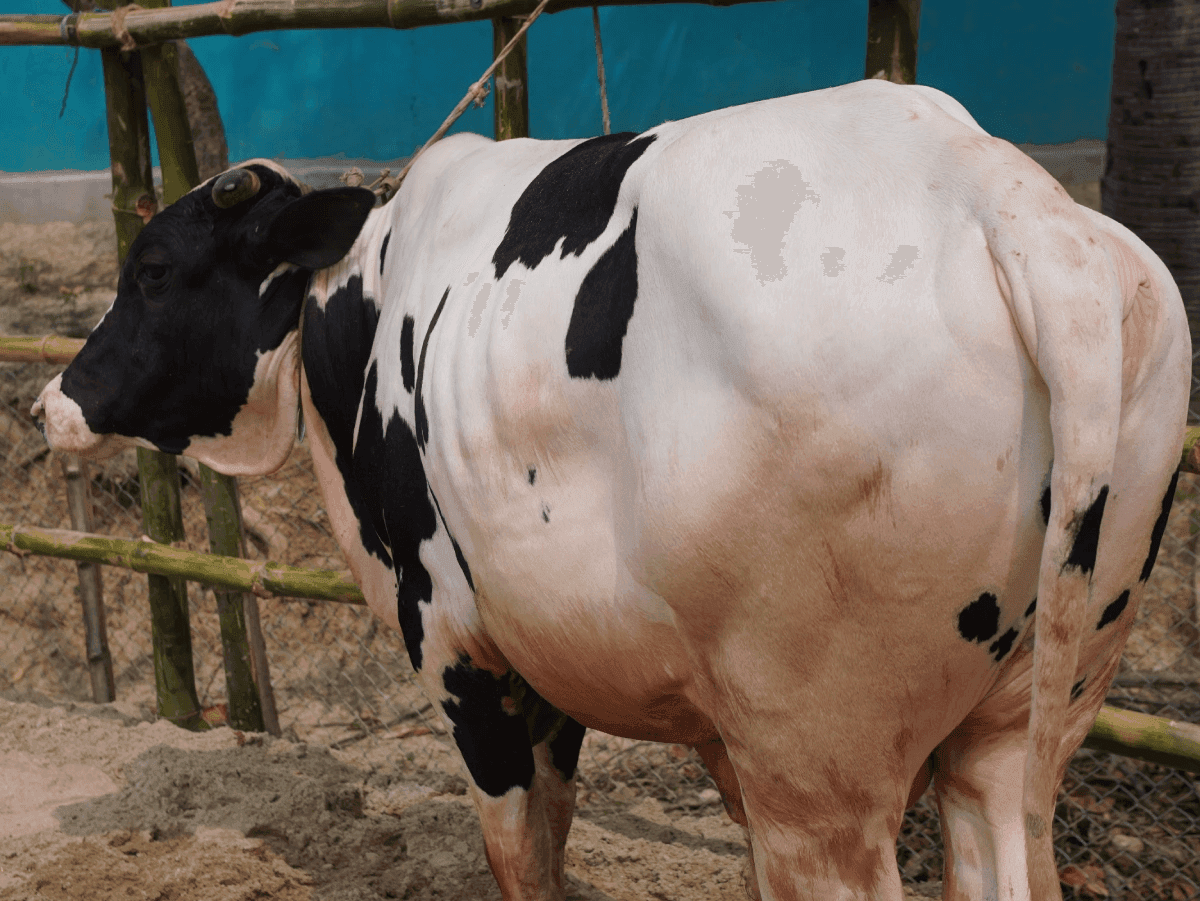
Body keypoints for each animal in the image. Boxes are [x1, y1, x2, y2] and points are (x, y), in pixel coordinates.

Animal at [32, 79, 1189, 901]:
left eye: (151, 272)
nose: (49, 402)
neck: (360, 295)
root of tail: (998, 194)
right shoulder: (548, 665)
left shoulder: (458, 651)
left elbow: (519, 856)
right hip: (1018, 727)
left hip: (819, 772)